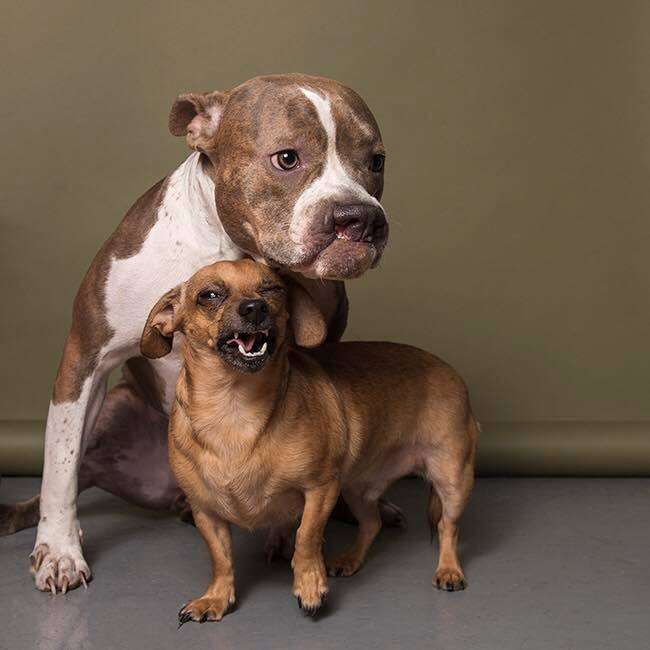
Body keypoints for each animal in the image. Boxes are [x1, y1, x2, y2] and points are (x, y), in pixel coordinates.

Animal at [0, 74, 398, 592]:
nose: (361, 217)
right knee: (76, 467)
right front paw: (60, 551)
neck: (228, 252)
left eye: (377, 161)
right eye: (286, 158)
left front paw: (287, 534)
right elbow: (59, 468)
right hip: (117, 409)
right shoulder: (85, 357)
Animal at [140, 258, 476, 624]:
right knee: (372, 523)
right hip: (357, 489)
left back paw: (449, 570)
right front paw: (215, 597)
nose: (255, 308)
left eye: (272, 289)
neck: (234, 408)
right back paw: (350, 559)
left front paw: (310, 586)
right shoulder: (206, 511)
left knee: (448, 526)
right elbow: (221, 558)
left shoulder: (320, 490)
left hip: (452, 481)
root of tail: (446, 367)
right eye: (209, 295)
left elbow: (306, 537)